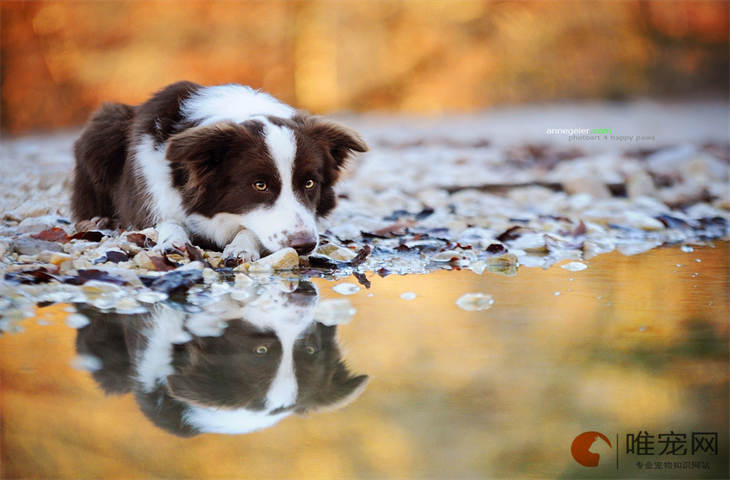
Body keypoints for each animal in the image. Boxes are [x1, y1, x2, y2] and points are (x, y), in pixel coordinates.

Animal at [71, 82, 366, 262]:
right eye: (260, 185)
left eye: (309, 183)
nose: (304, 245)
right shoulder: (149, 195)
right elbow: (169, 221)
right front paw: (173, 240)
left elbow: (249, 230)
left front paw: (242, 246)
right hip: (105, 125)